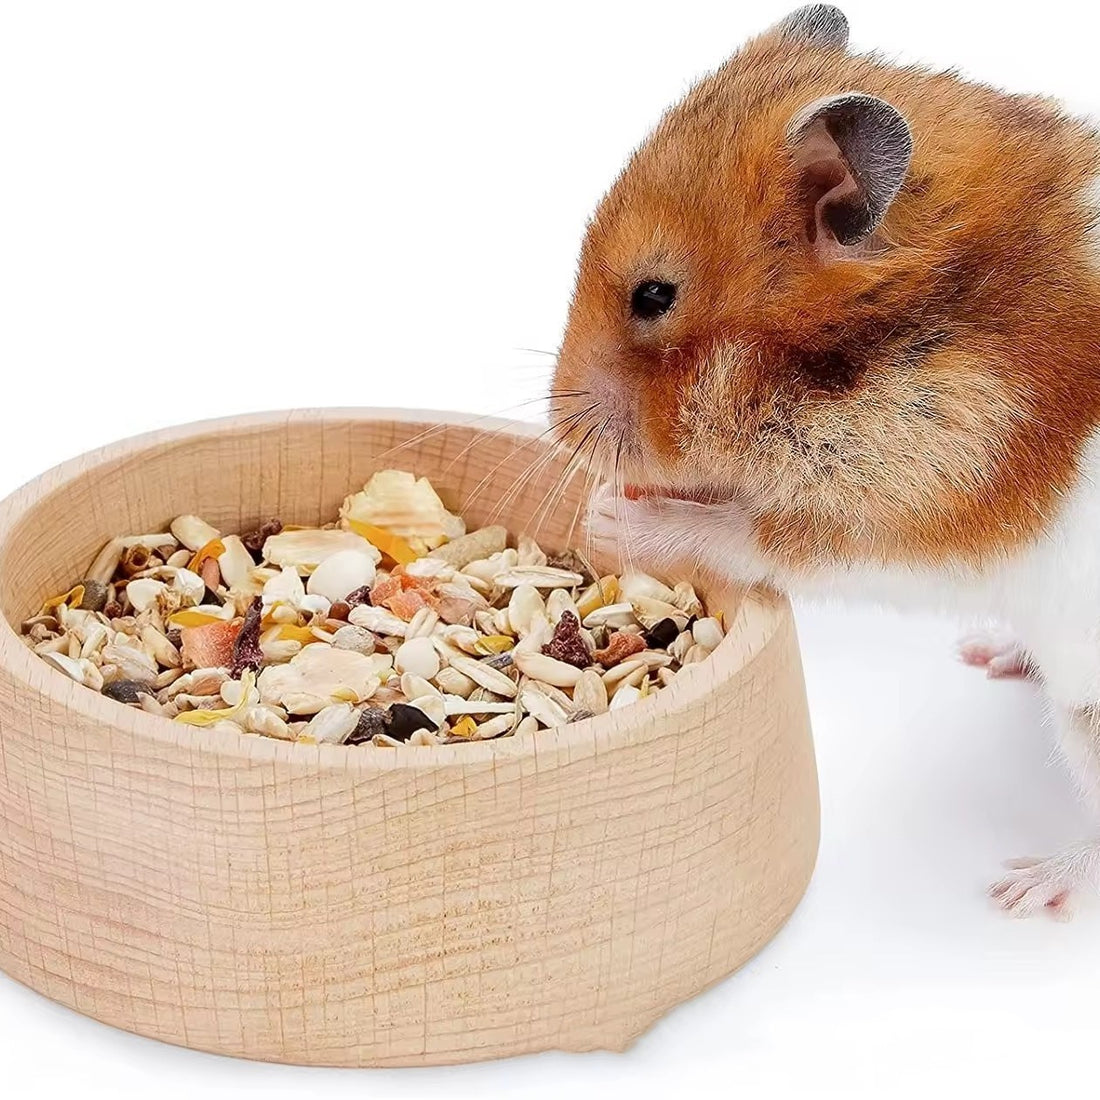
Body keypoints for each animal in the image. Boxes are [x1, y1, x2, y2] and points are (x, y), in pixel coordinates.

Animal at [550, 4, 1100, 918]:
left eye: (654, 295)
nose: (560, 429)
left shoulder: (913, 505)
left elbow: (751, 534)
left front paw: (612, 511)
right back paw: (989, 654)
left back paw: (1024, 891)